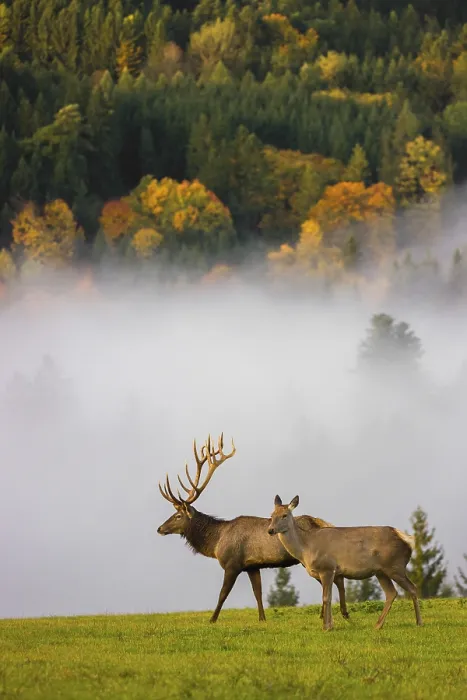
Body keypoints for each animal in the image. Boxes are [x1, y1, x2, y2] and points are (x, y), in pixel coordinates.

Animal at [157, 434, 351, 623]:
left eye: (178, 516)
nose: (159, 528)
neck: (216, 542)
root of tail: (324, 523)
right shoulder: (252, 566)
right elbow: (258, 593)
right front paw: (262, 619)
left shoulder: (232, 563)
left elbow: (222, 594)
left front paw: (212, 619)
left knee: (336, 579)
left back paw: (342, 613)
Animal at [267, 494, 423, 631]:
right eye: (272, 514)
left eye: (284, 515)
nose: (270, 530)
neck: (306, 548)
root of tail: (407, 539)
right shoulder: (333, 573)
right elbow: (330, 598)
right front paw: (330, 625)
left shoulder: (327, 568)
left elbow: (326, 598)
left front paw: (326, 627)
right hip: (381, 571)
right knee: (391, 593)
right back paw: (378, 625)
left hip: (395, 565)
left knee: (413, 588)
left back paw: (418, 622)